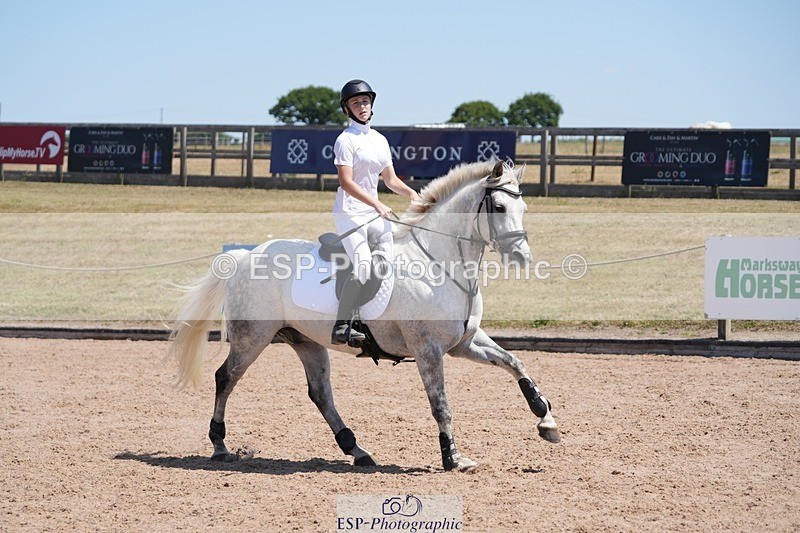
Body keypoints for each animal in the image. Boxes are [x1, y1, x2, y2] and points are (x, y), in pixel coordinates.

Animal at [167, 159, 561, 471]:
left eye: (524, 208)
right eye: (498, 207)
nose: (522, 257)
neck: (441, 264)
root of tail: (245, 256)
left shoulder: (464, 343)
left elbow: (515, 363)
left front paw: (546, 420)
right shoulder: (428, 349)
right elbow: (441, 404)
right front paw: (453, 458)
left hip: (306, 341)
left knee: (321, 394)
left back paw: (357, 450)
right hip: (253, 337)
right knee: (225, 378)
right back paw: (220, 445)